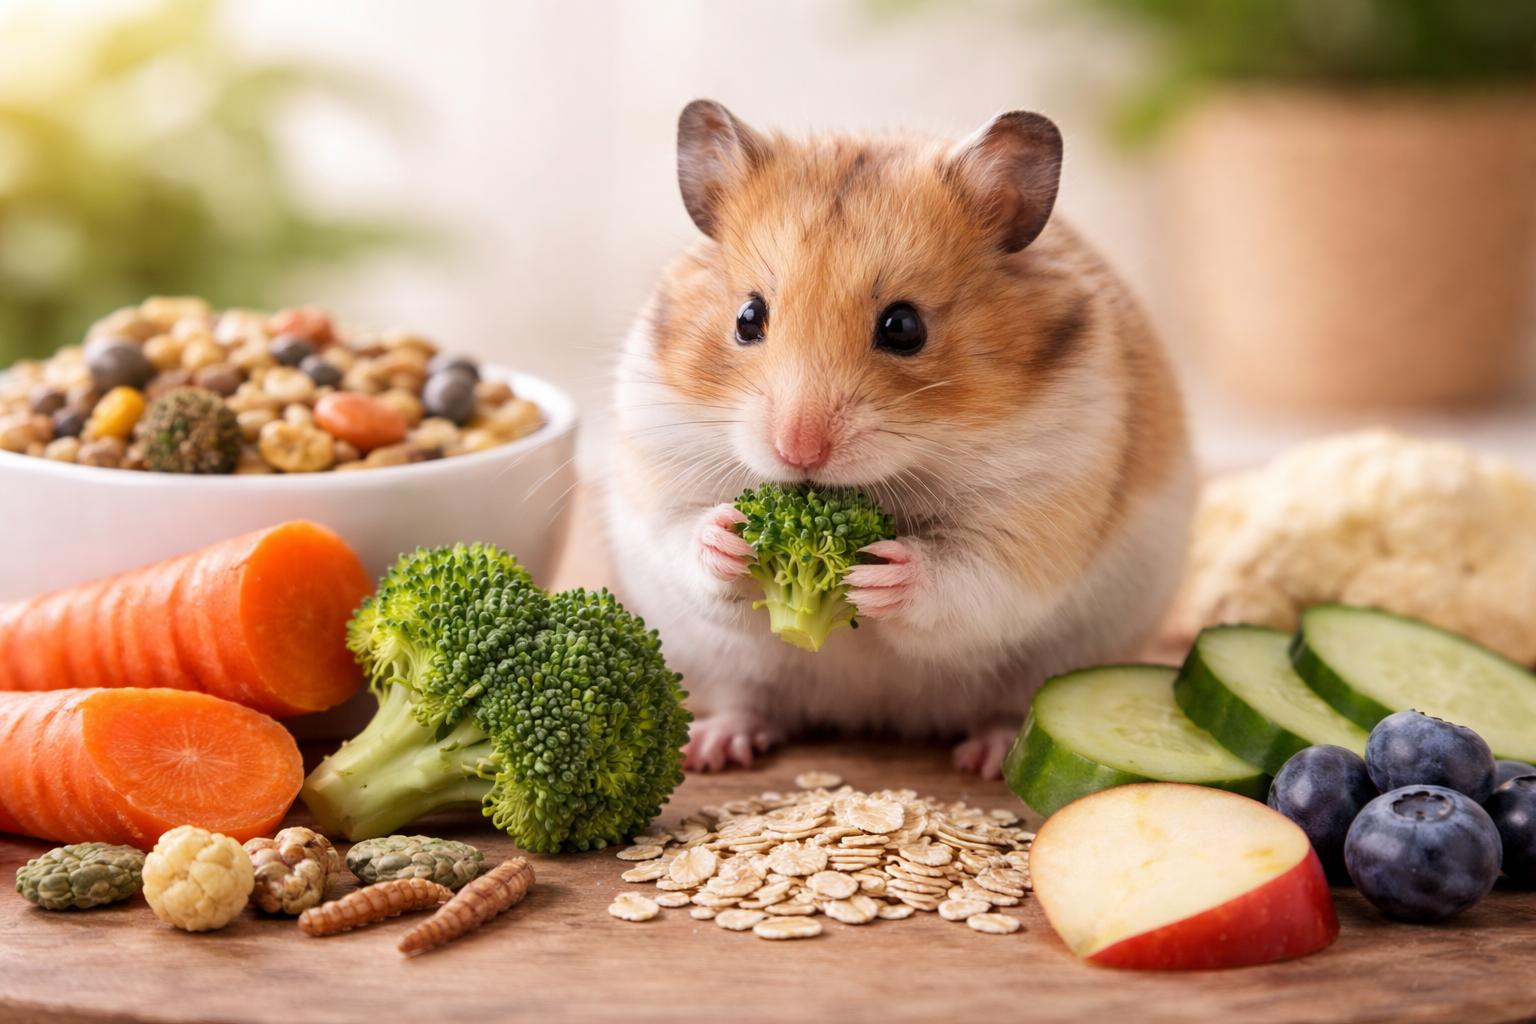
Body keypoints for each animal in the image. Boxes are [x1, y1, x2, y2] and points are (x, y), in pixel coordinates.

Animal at [606, 100, 1194, 778]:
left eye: (904, 326)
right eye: (748, 318)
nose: (797, 452)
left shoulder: (1036, 515)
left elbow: (963, 578)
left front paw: (877, 574)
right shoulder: (655, 472)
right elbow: (684, 539)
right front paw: (728, 535)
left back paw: (989, 756)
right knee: (749, 702)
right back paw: (711, 749)